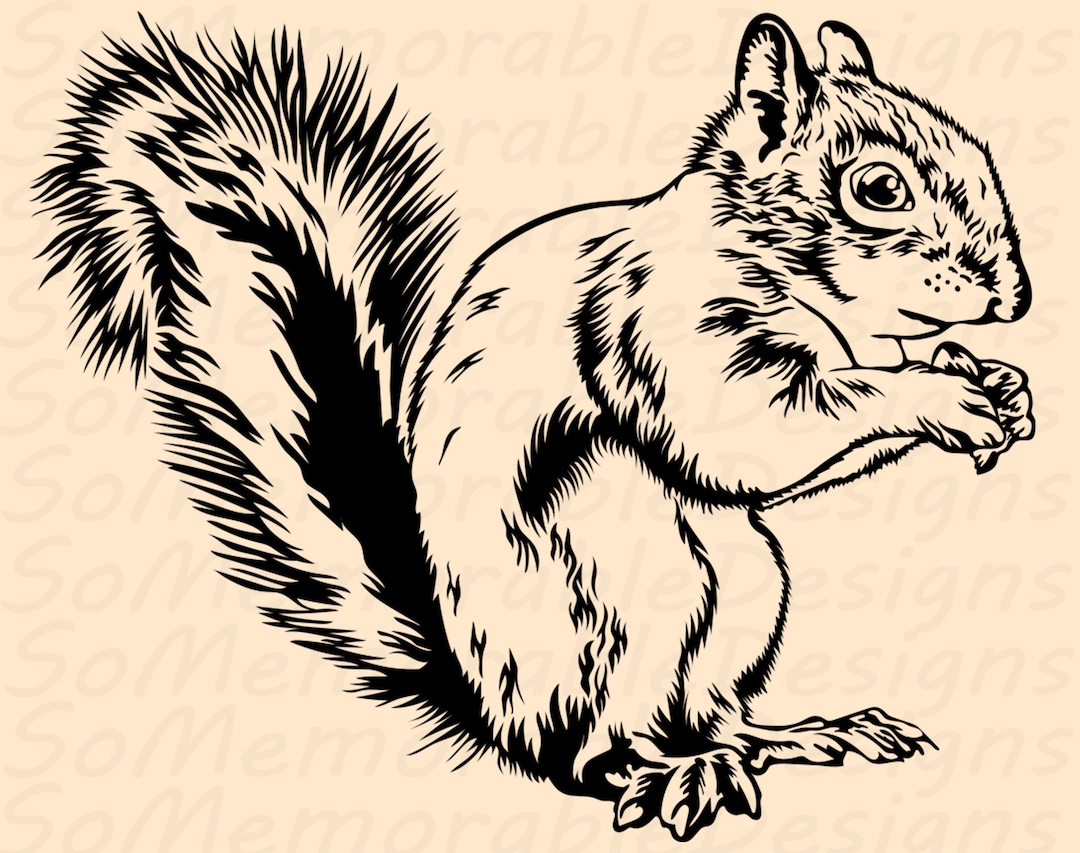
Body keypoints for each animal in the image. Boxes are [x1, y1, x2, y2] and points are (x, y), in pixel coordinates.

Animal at [36, 13, 1035, 841]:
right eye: (880, 188)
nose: (1012, 297)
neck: (814, 301)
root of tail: (491, 700)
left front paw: (997, 386)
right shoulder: (653, 320)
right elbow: (745, 429)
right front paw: (940, 396)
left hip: (751, 585)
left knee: (711, 710)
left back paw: (794, 736)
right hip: (632, 583)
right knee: (589, 754)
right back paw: (670, 772)